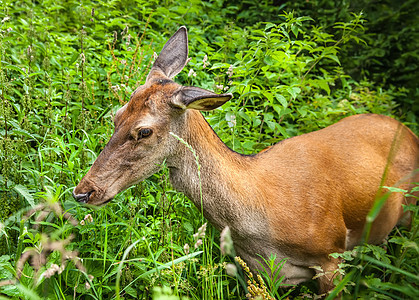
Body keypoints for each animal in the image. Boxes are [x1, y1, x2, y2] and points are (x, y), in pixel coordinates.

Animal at [73, 26, 419, 292]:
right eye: (116, 116)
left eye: (143, 131)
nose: (83, 192)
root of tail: (406, 129)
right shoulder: (255, 273)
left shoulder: (331, 254)